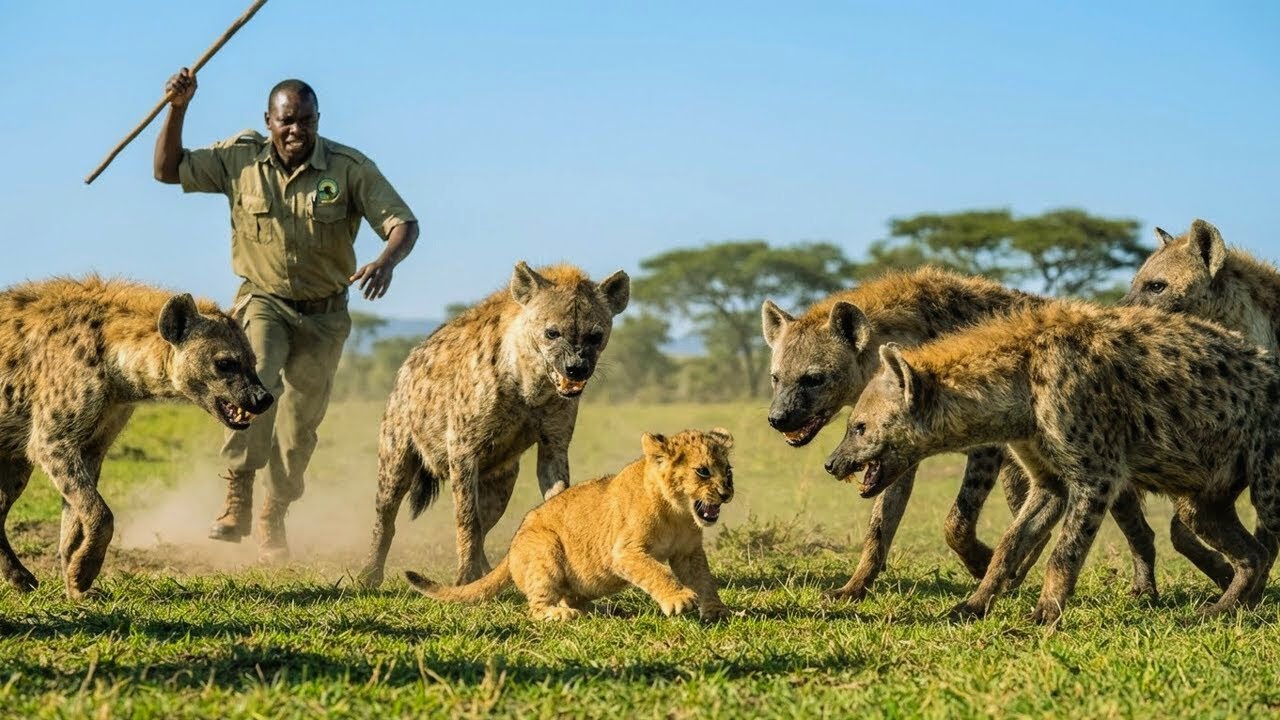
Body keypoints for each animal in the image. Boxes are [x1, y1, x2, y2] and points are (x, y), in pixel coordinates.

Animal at [404, 428, 736, 621]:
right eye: (703, 471)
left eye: (728, 471)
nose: (726, 493)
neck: (678, 513)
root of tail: (511, 550)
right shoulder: (625, 551)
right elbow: (656, 571)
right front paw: (679, 599)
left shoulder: (688, 553)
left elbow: (704, 579)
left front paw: (717, 609)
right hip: (544, 547)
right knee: (535, 608)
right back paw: (561, 615)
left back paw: (594, 608)